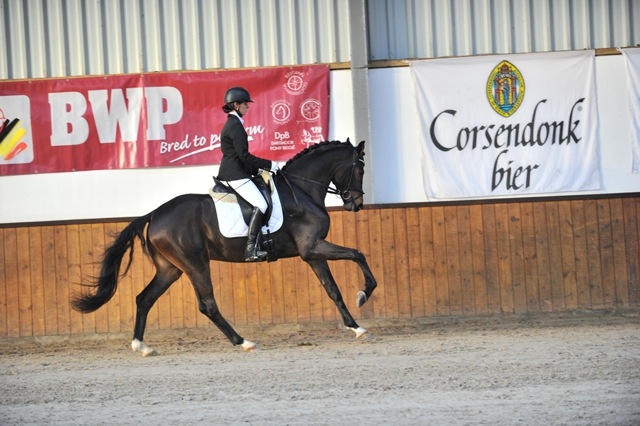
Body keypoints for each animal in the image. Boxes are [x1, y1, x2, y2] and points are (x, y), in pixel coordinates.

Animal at [72, 140, 378, 356]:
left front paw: (357, 327)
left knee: (144, 299)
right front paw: (364, 294)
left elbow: (333, 290)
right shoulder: (313, 247)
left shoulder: (312, 253)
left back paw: (141, 346)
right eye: (360, 168)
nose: (356, 204)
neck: (302, 190)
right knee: (207, 305)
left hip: (170, 269)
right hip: (195, 264)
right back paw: (243, 342)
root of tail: (154, 214)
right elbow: (358, 254)